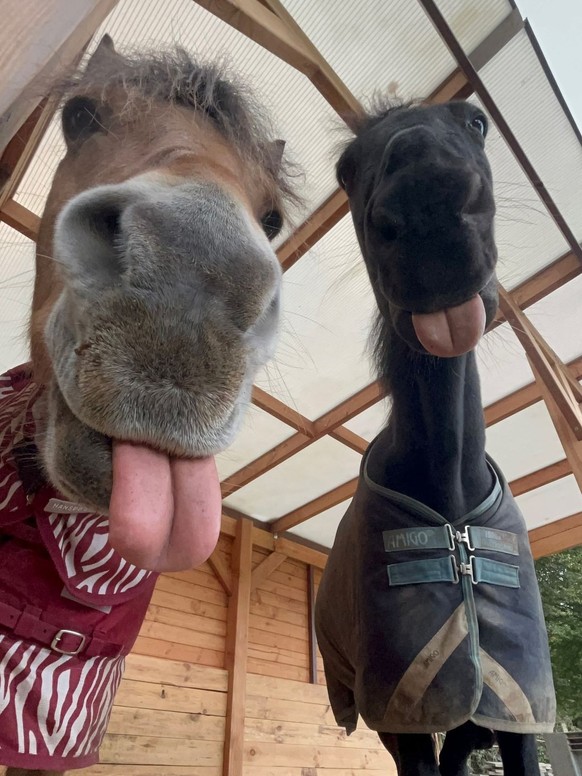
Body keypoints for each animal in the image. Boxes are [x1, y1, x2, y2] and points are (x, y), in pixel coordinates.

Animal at [315, 100, 556, 776]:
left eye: (476, 121)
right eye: (346, 168)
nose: (428, 209)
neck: (450, 501)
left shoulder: (517, 711)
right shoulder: (407, 710)